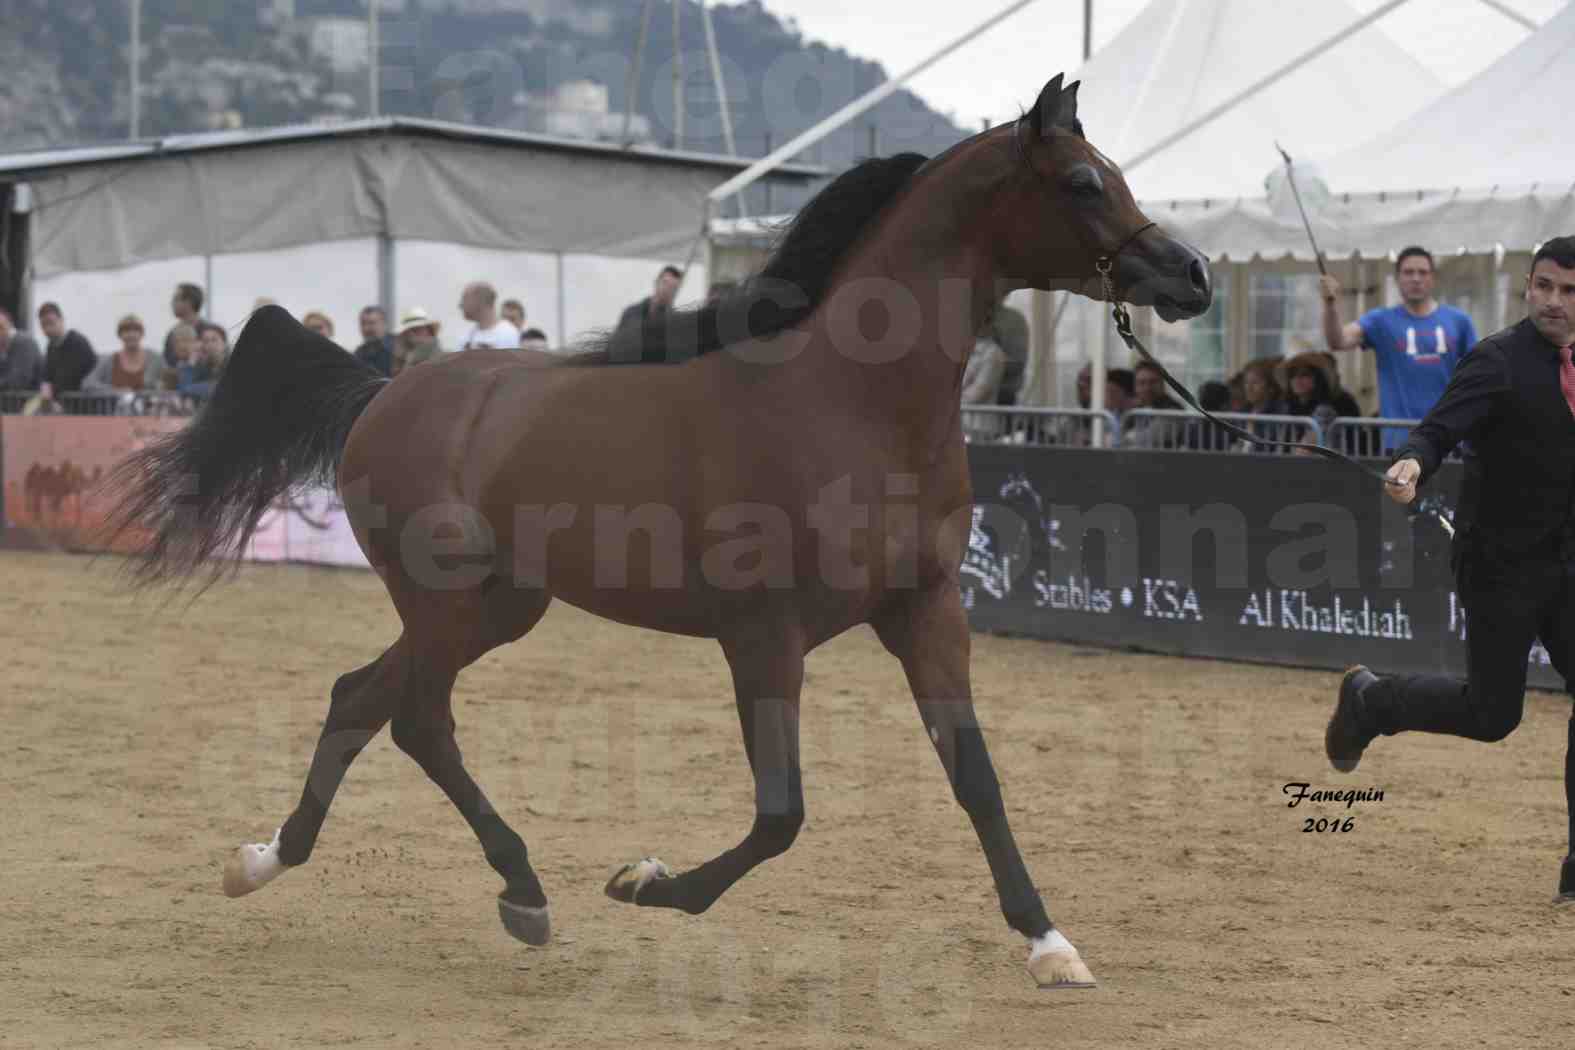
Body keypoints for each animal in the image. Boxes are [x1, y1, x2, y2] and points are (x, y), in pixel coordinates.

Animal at [104, 75, 1209, 994]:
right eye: (1082, 181)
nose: (1190, 275)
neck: (847, 403)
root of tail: (384, 389)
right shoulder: (763, 637)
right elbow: (781, 814)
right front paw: (645, 880)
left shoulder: (926, 612)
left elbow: (975, 777)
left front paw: (1049, 943)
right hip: (449, 603)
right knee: (412, 714)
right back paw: (518, 892)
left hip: (501, 605)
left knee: (363, 699)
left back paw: (272, 862)